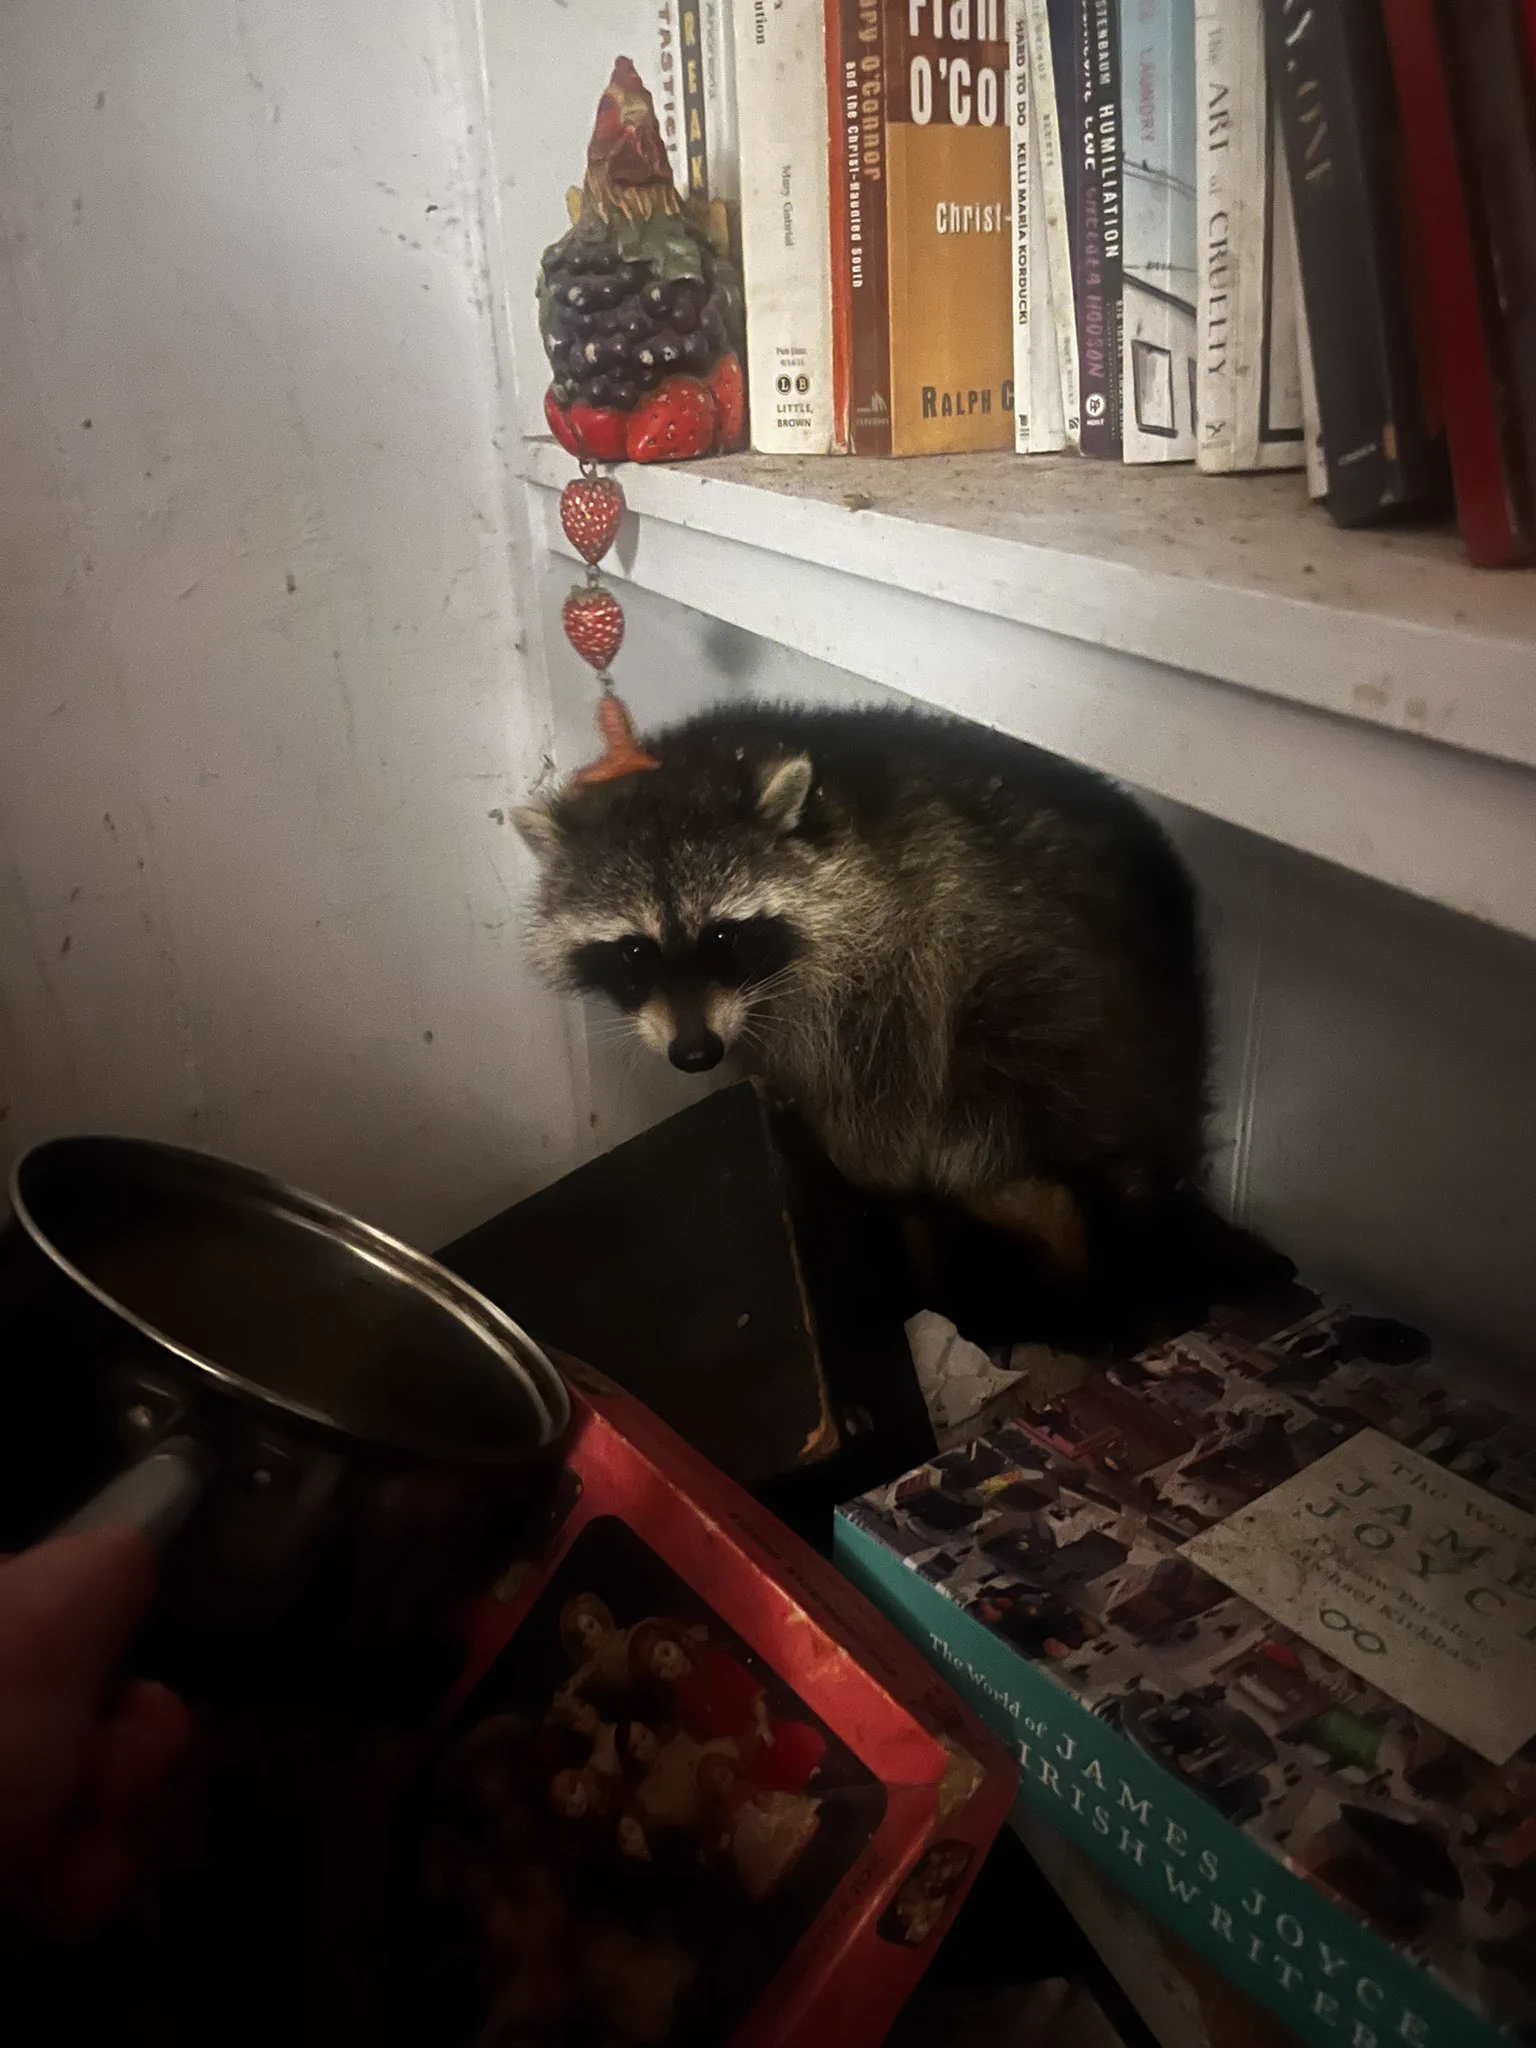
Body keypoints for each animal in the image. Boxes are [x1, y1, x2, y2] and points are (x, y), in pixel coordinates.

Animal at [516, 703, 1276, 1326]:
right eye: (633, 950)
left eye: (725, 936)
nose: (696, 1054)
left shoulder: (890, 966)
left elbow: (879, 1094)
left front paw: (865, 1173)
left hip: (1050, 1021)